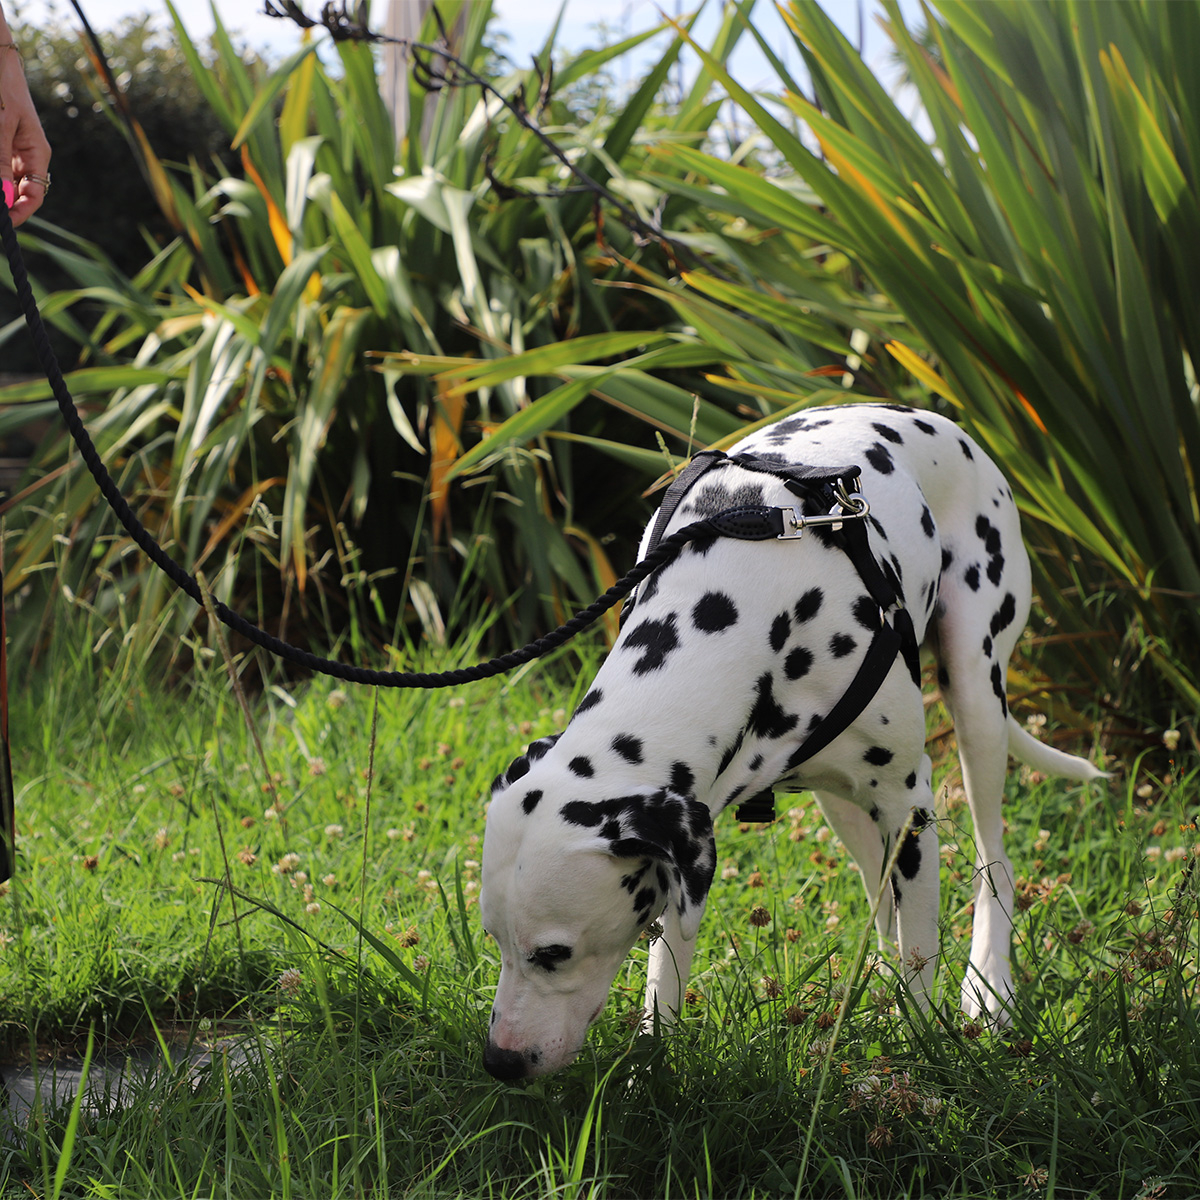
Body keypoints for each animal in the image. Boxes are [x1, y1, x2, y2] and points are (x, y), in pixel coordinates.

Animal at [477, 400, 1104, 1080]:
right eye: (494, 939)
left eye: (554, 953)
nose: (500, 1062)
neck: (744, 595)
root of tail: (933, 417)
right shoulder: (690, 854)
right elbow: (667, 973)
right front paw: (652, 1064)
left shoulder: (909, 808)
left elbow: (920, 962)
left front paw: (920, 1056)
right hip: (844, 805)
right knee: (881, 901)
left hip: (976, 693)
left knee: (994, 863)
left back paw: (989, 990)